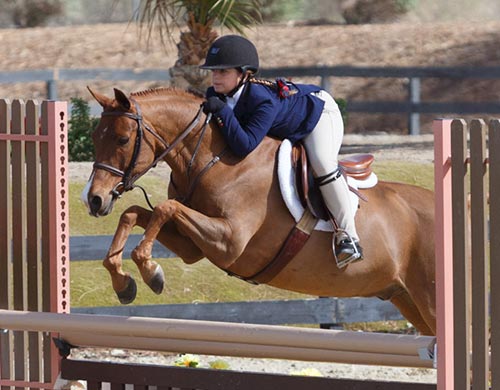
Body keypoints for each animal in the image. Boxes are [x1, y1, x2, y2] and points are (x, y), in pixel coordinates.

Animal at [80, 86, 436, 336]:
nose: (94, 199)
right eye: (95, 137)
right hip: (406, 298)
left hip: (429, 299)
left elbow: (165, 208)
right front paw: (123, 282)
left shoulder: (230, 241)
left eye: (123, 139)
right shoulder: (195, 246)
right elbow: (136, 213)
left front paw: (151, 270)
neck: (216, 159)